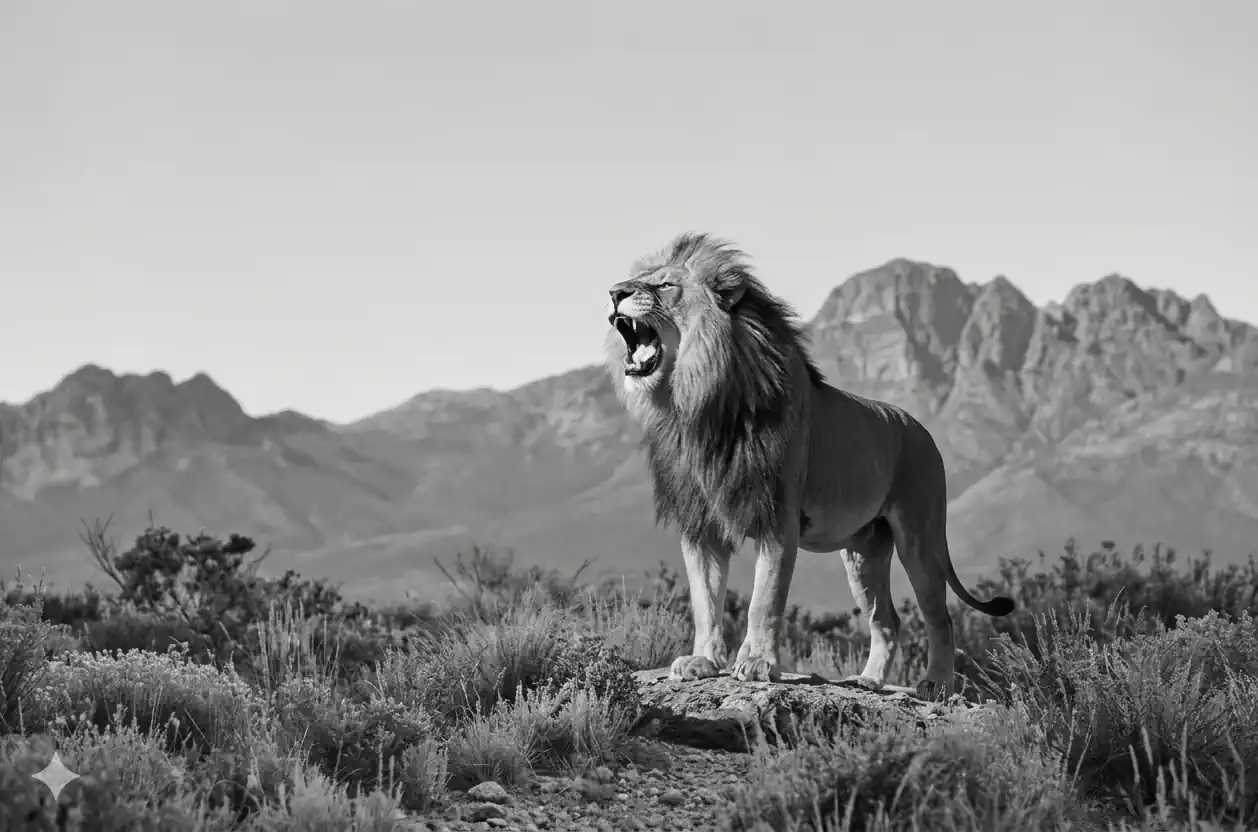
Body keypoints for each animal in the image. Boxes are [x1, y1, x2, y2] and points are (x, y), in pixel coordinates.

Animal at [603, 232, 1015, 699]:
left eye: (665, 285)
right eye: (639, 279)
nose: (614, 292)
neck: (696, 403)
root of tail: (922, 431)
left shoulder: (778, 516)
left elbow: (764, 599)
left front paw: (757, 664)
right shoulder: (700, 523)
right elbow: (705, 601)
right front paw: (703, 662)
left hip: (920, 538)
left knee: (939, 617)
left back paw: (936, 685)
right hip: (864, 553)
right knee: (886, 620)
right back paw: (868, 681)